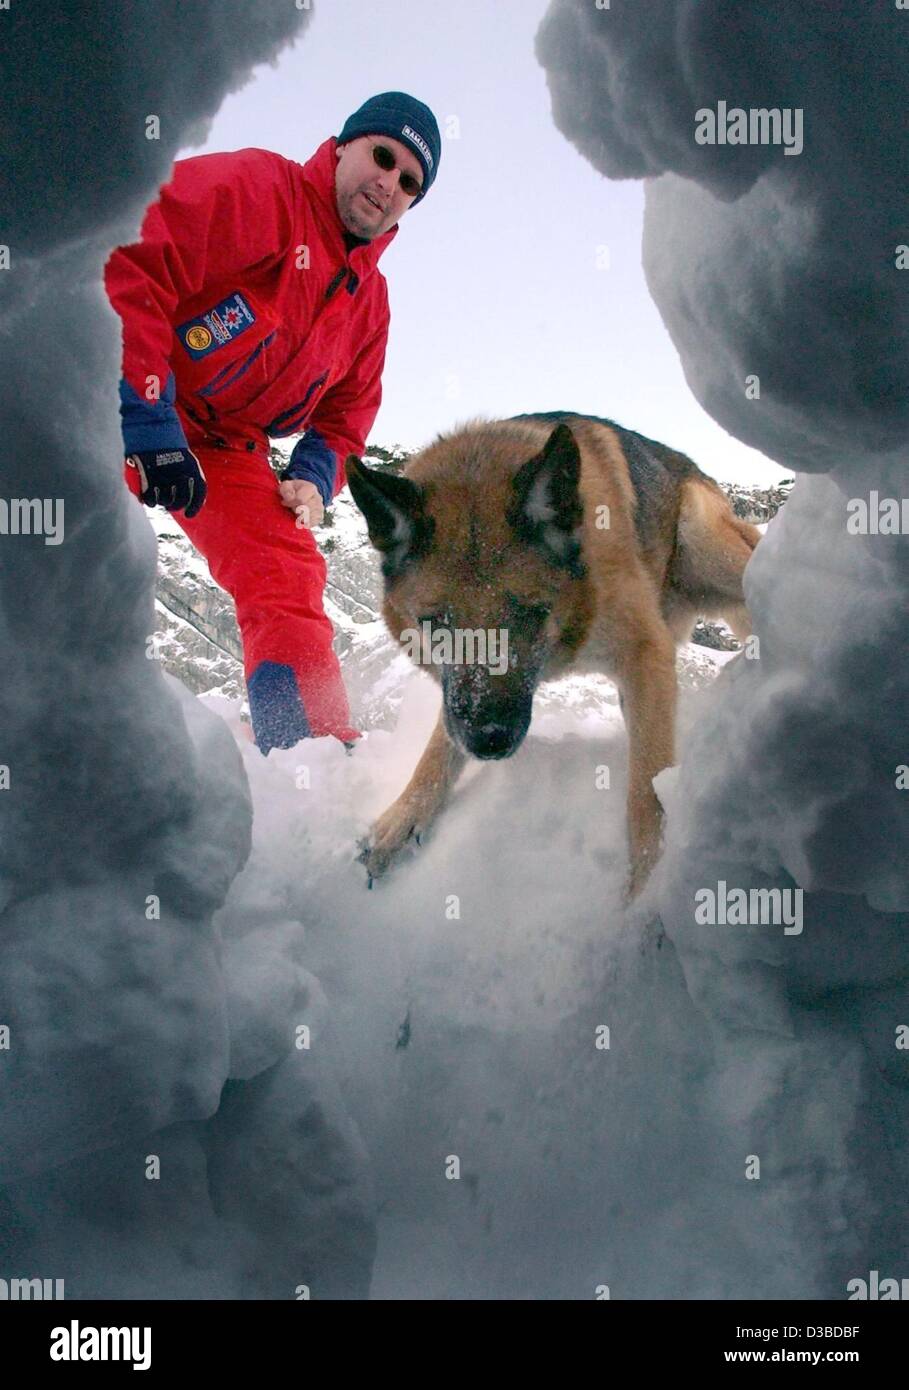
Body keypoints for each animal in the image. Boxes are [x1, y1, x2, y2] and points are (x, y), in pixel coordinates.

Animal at [348, 405, 761, 895]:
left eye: (530, 613)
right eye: (436, 623)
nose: (489, 741)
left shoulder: (646, 654)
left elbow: (647, 793)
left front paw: (647, 896)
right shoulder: (459, 699)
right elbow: (440, 743)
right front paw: (405, 814)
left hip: (702, 538)